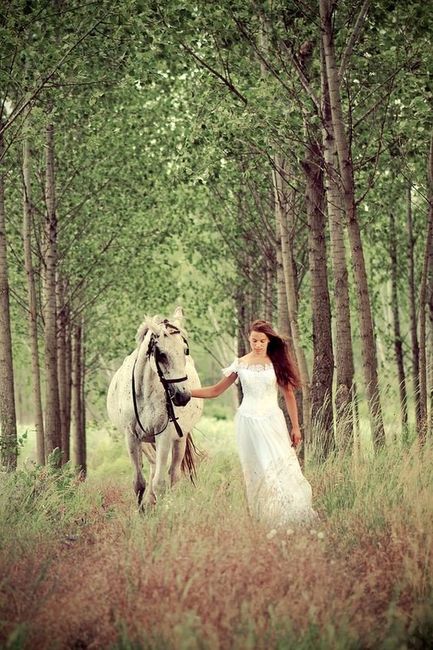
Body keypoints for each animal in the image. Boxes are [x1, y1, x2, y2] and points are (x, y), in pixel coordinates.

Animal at [107, 307, 203, 506]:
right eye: (161, 354)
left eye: (185, 350)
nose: (183, 396)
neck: (144, 392)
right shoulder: (131, 437)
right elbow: (139, 483)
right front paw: (142, 510)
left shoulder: (164, 435)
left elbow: (160, 483)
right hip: (146, 443)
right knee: (152, 467)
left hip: (179, 440)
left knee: (173, 475)